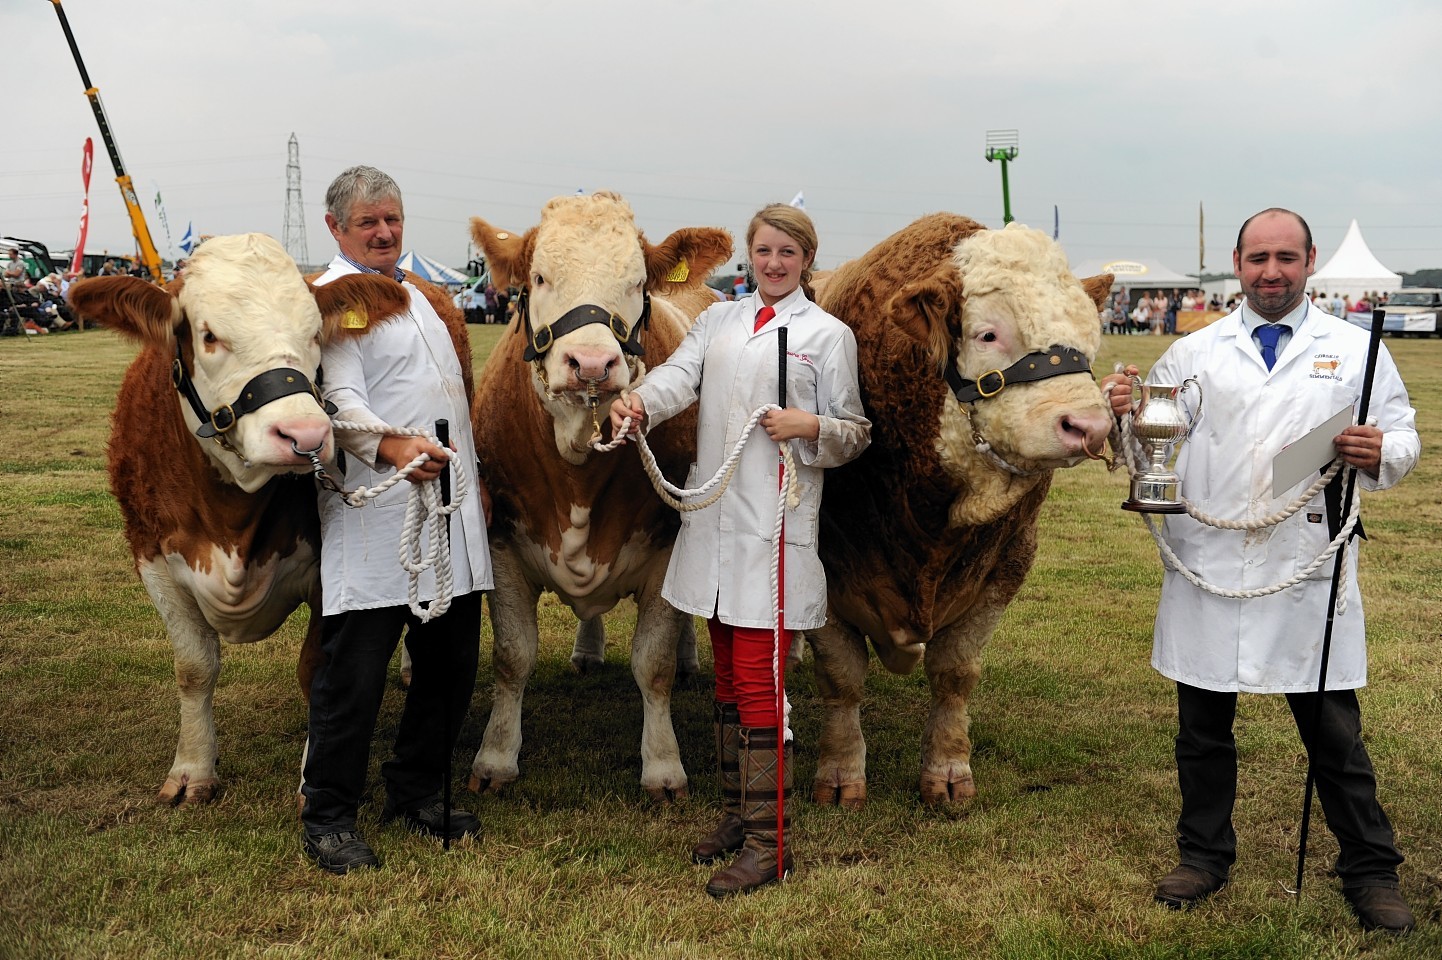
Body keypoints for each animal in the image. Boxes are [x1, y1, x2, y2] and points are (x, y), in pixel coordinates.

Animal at [69, 233, 409, 801]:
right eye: (209, 336)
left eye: (315, 335)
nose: (305, 434)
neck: (229, 518)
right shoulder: (153, 558)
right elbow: (194, 669)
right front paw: (193, 768)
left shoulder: (330, 577)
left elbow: (317, 671)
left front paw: (313, 778)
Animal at [467, 190, 726, 795]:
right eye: (538, 278)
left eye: (637, 283)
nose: (590, 363)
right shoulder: (500, 538)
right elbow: (512, 656)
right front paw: (496, 756)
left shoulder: (666, 540)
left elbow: (653, 661)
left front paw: (663, 765)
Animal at [813, 216, 1113, 807]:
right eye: (988, 334)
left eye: (1090, 336)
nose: (1089, 425)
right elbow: (841, 677)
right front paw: (840, 773)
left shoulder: (1008, 560)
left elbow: (955, 672)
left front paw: (947, 771)